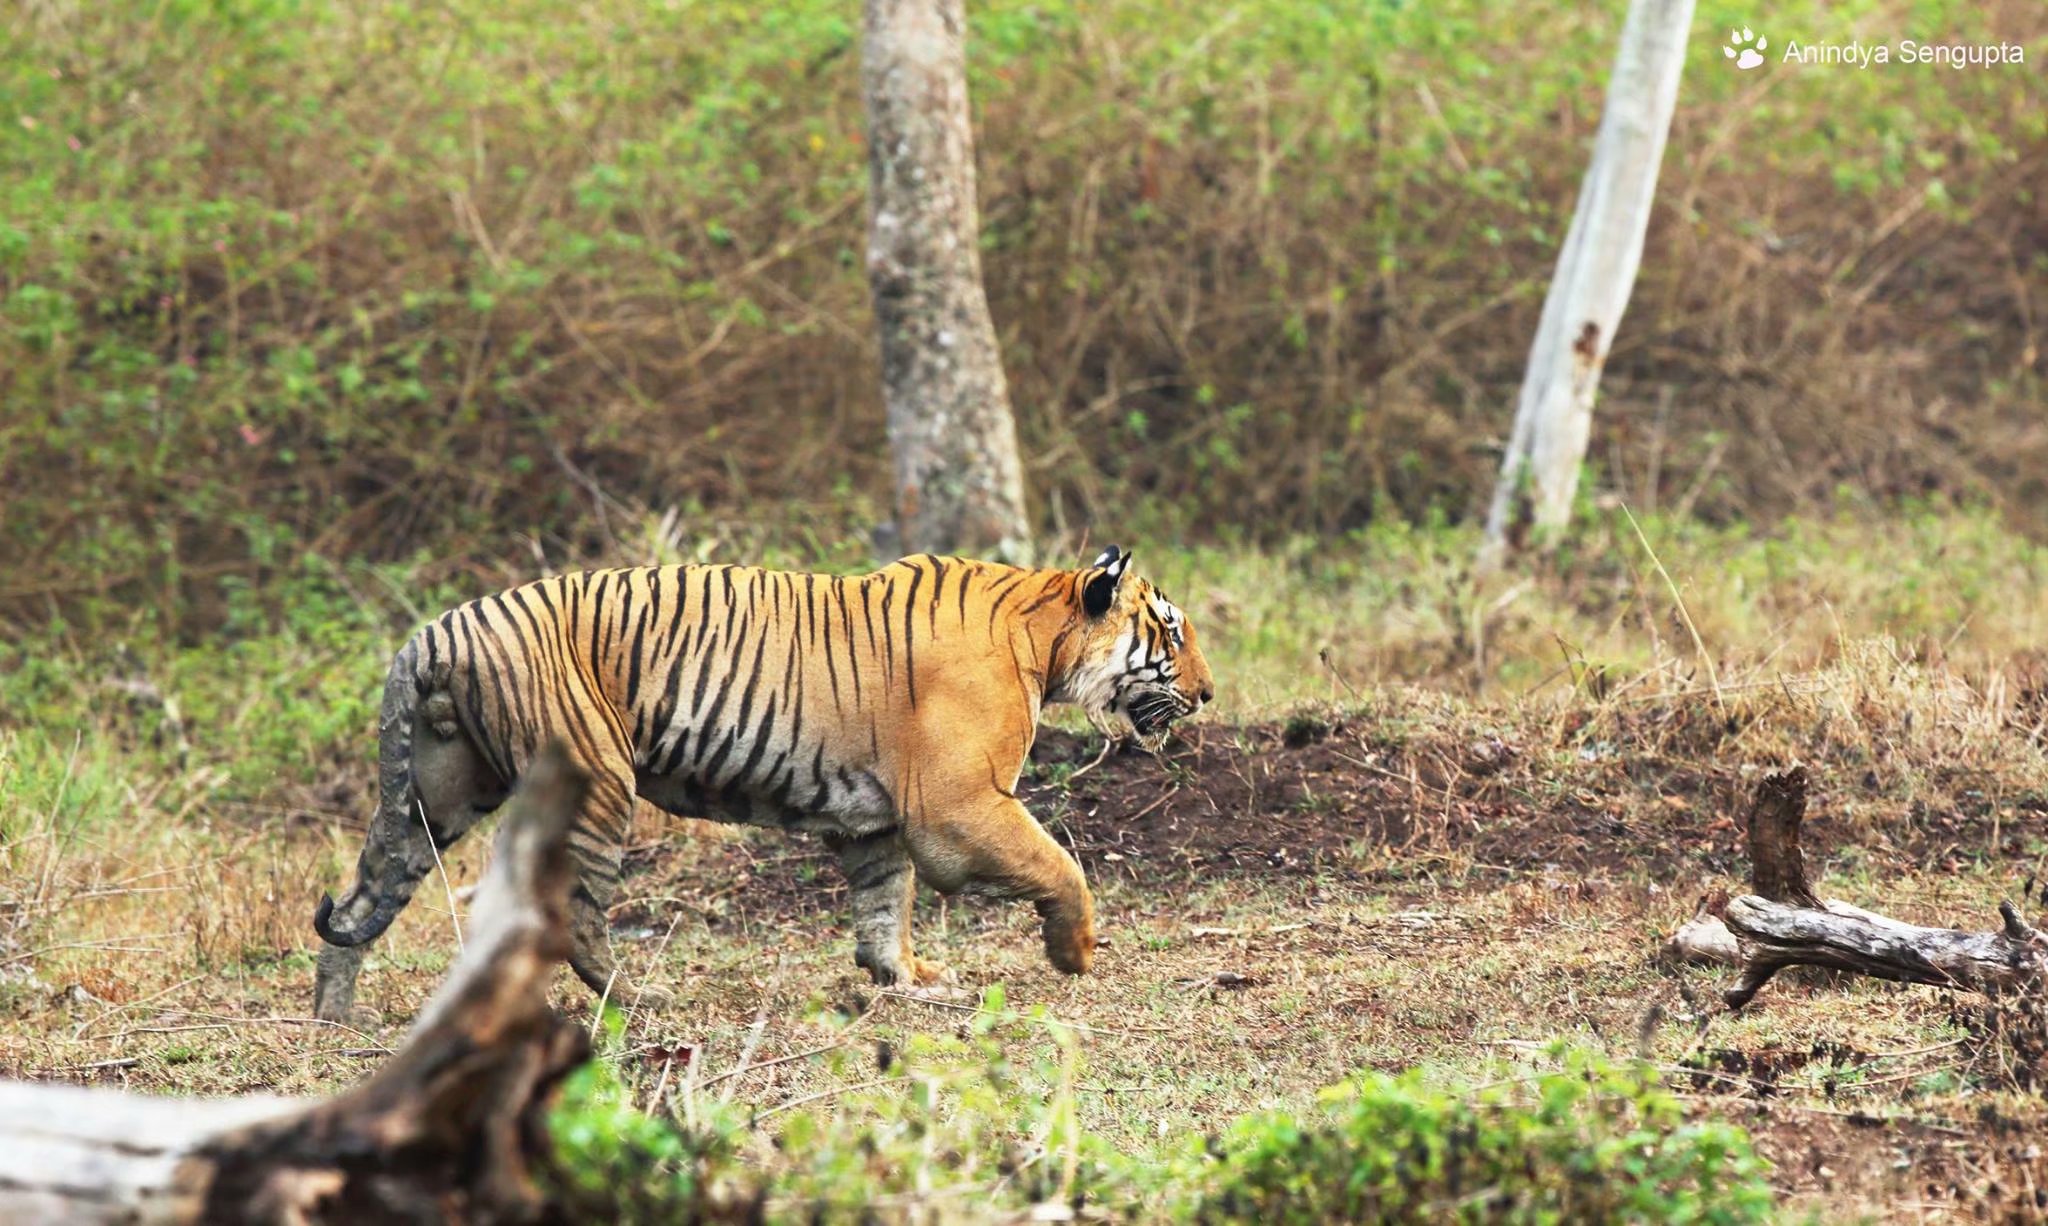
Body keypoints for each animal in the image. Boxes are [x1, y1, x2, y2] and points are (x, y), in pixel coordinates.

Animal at [311, 548, 1204, 1027]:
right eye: (1170, 633)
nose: (1209, 693)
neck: (1041, 632)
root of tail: (435, 631)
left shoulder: (877, 823)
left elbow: (884, 905)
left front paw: (905, 979)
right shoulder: (958, 808)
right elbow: (1062, 865)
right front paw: (1073, 952)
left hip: (435, 794)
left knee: (364, 894)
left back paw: (333, 1014)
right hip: (595, 782)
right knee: (573, 908)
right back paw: (640, 998)